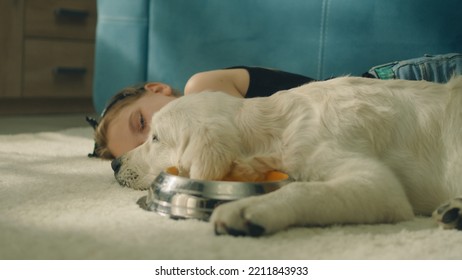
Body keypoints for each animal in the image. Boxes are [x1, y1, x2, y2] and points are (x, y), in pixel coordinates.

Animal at [112, 76, 462, 236]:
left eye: (155, 138)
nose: (115, 163)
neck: (276, 127)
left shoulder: (379, 185)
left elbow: (304, 189)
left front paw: (250, 208)